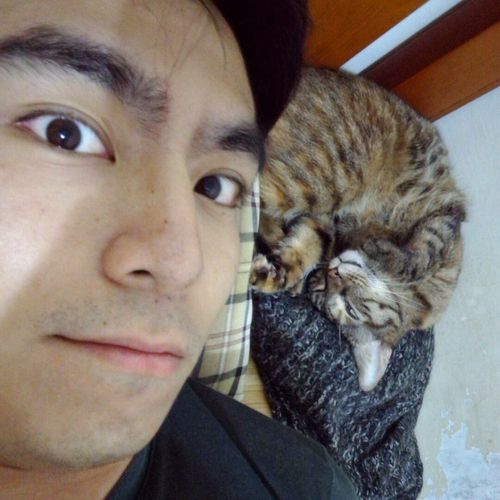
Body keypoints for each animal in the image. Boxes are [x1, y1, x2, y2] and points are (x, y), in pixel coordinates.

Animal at [250, 67, 466, 391]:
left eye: (348, 310)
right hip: (324, 178)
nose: (334, 272)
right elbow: (421, 256)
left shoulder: (321, 226)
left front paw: (277, 273)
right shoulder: (447, 216)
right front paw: (383, 248)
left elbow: (306, 247)